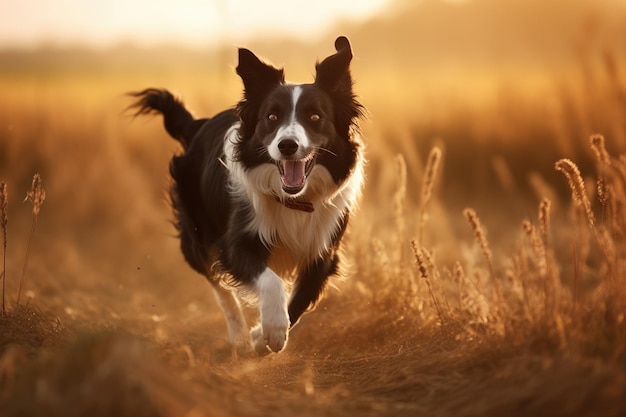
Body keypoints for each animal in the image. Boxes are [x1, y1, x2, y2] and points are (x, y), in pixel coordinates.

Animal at [129, 36, 364, 354]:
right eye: (272, 117)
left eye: (315, 116)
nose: (287, 145)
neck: (295, 201)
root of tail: (197, 125)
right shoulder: (235, 243)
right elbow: (271, 282)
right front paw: (272, 331)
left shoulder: (323, 252)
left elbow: (299, 302)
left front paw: (263, 335)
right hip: (197, 235)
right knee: (219, 286)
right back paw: (238, 334)